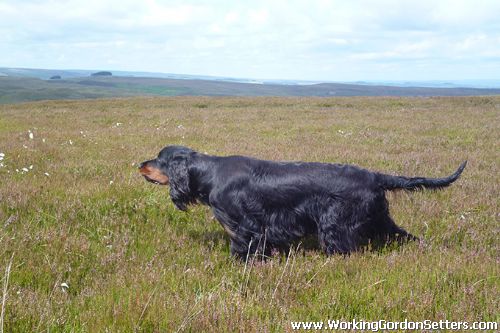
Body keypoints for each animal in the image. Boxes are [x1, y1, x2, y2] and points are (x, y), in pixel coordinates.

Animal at [140, 146, 464, 260]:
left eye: (158, 158)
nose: (140, 164)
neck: (210, 173)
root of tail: (374, 176)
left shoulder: (245, 226)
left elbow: (242, 249)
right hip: (379, 217)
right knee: (404, 235)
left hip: (336, 223)